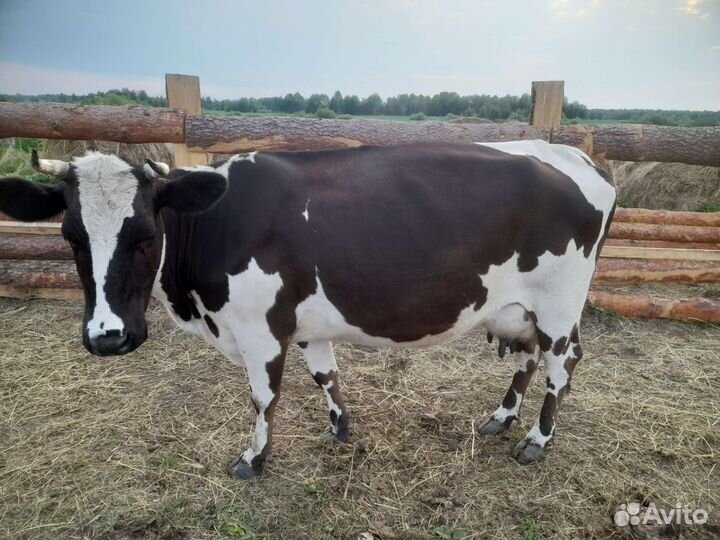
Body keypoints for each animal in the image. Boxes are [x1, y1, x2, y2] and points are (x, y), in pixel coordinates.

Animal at [0, 141, 615, 479]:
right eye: (70, 235)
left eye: (145, 234)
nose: (107, 336)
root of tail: (576, 156)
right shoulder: (305, 323)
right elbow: (325, 374)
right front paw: (339, 430)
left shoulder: (259, 328)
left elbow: (264, 396)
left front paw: (253, 460)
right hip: (521, 309)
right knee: (528, 358)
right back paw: (501, 418)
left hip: (559, 304)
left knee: (563, 363)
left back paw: (537, 440)